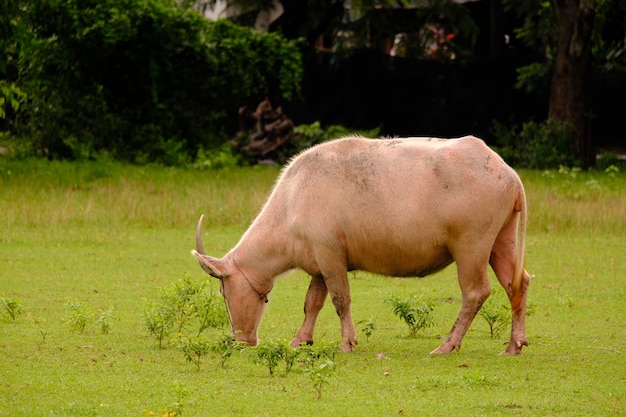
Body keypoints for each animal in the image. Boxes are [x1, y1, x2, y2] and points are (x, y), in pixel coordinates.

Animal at [193, 136, 528, 354]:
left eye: (224, 292)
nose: (240, 340)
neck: (293, 201)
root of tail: (507, 172)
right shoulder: (319, 264)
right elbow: (312, 303)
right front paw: (301, 340)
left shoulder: (331, 257)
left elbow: (341, 300)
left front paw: (347, 342)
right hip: (501, 241)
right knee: (517, 284)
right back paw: (514, 345)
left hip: (471, 246)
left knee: (475, 292)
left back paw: (448, 345)